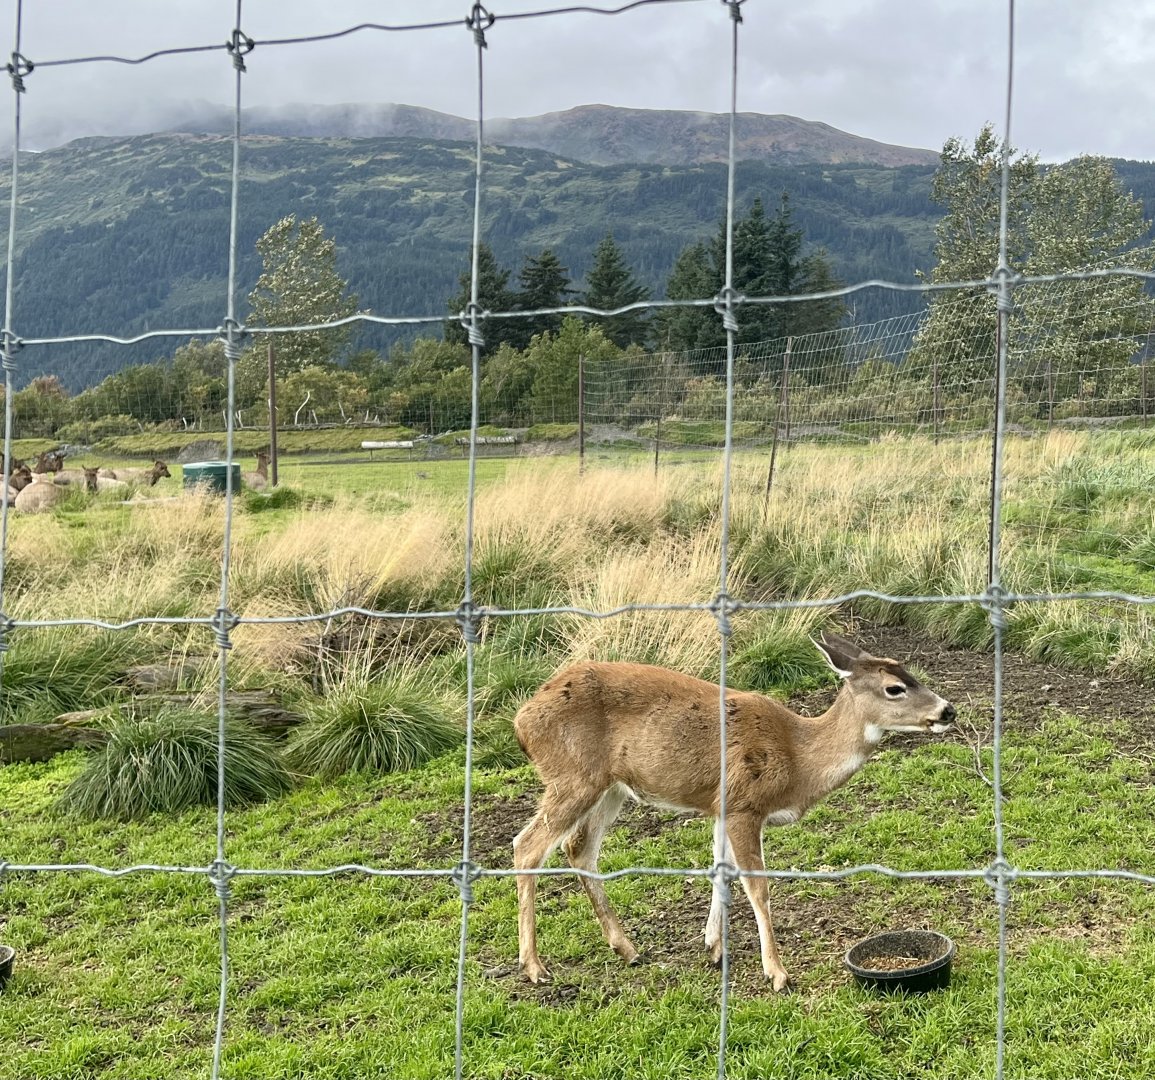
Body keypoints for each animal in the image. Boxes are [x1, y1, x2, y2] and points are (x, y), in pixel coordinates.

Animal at [511, 632, 956, 991]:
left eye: (908, 671)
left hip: (610, 786)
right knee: (527, 846)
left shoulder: (720, 807)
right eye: (894, 688)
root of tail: (521, 719)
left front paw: (714, 947)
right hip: (573, 776)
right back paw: (534, 967)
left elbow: (719, 871)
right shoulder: (744, 803)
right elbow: (757, 887)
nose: (947, 710)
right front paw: (776, 973)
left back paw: (627, 948)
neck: (797, 758)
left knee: (578, 849)